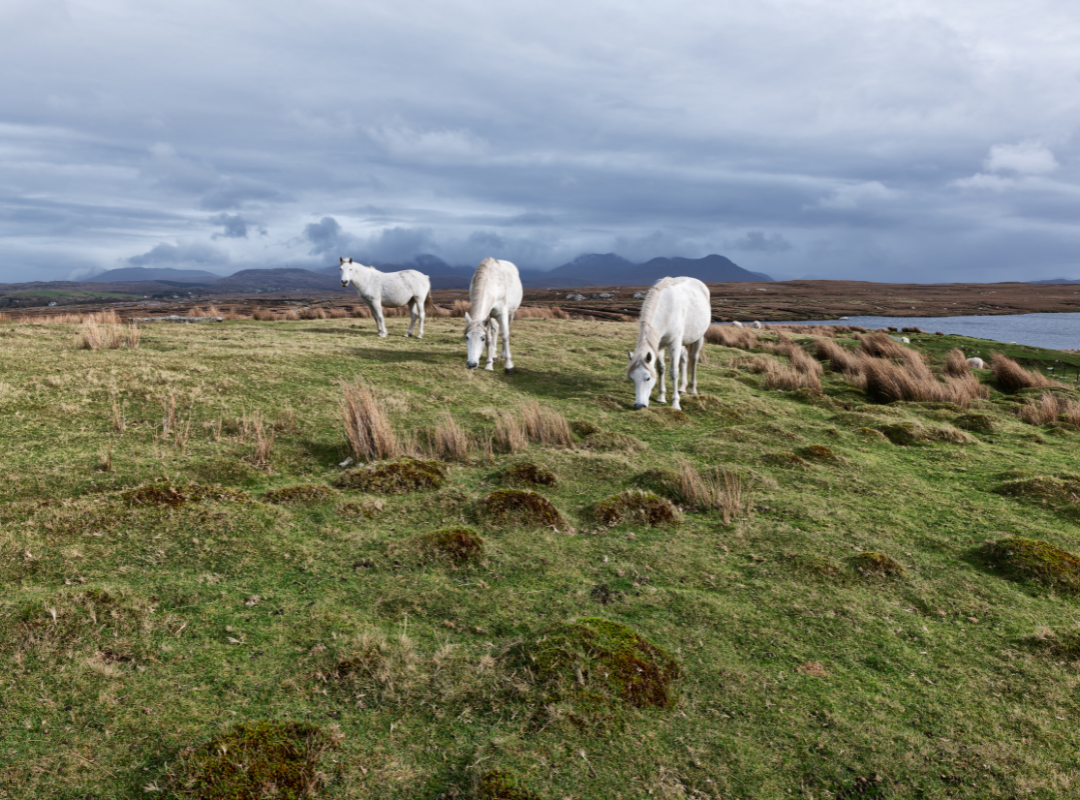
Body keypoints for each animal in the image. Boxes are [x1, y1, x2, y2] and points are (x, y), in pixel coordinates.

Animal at [626, 276, 711, 411]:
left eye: (648, 378)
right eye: (632, 378)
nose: (639, 405)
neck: (667, 310)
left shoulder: (674, 343)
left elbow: (674, 372)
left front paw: (675, 404)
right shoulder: (659, 344)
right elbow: (661, 369)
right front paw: (661, 398)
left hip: (699, 338)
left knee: (694, 359)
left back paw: (692, 389)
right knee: (684, 359)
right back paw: (682, 388)